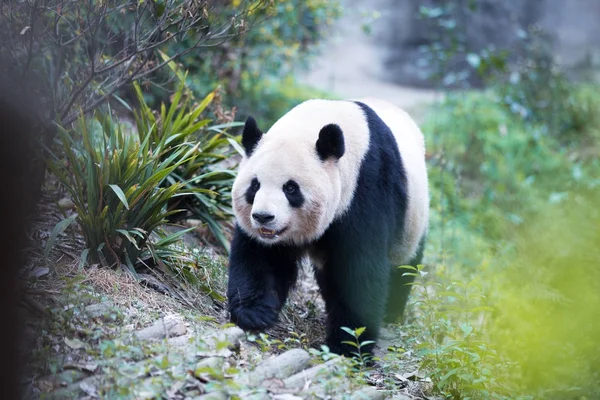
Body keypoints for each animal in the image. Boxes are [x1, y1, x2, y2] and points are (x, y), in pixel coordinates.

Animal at [227, 97, 428, 356]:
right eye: (254, 186)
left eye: (290, 188)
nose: (263, 217)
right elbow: (261, 256)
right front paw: (255, 314)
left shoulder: (366, 189)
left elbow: (360, 270)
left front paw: (349, 344)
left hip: (412, 220)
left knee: (403, 265)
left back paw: (390, 312)